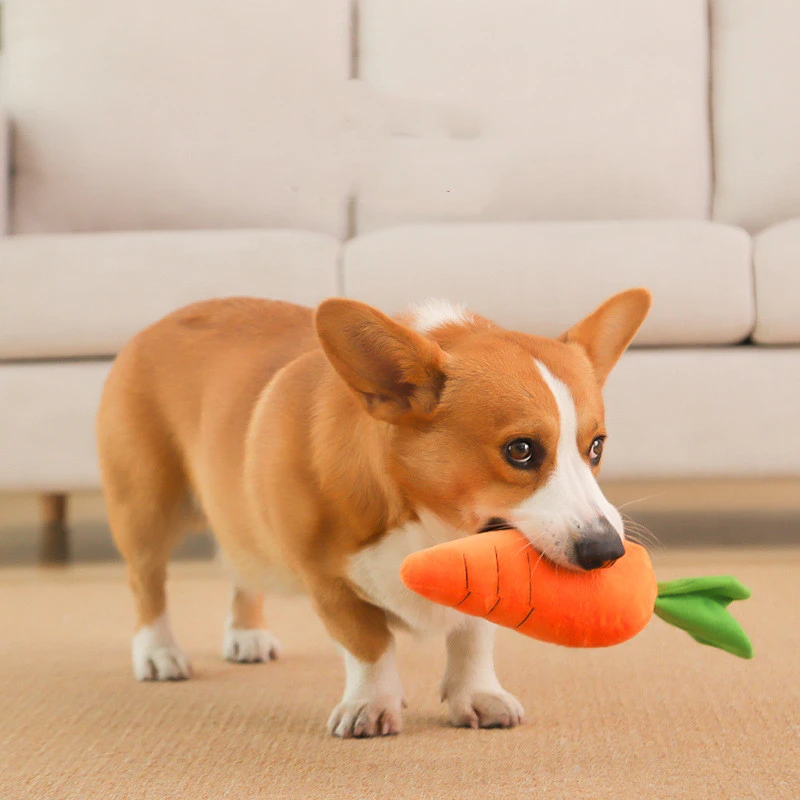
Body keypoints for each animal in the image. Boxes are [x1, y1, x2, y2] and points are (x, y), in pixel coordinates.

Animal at [98, 288, 648, 736]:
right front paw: (371, 707)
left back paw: (247, 635)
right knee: (146, 582)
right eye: (521, 451)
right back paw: (159, 653)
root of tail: (162, 321)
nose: (607, 552)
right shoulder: (328, 582)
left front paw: (477, 696)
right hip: (146, 507)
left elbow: (472, 639)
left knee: (242, 569)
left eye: (596, 447)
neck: (428, 524)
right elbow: (369, 644)